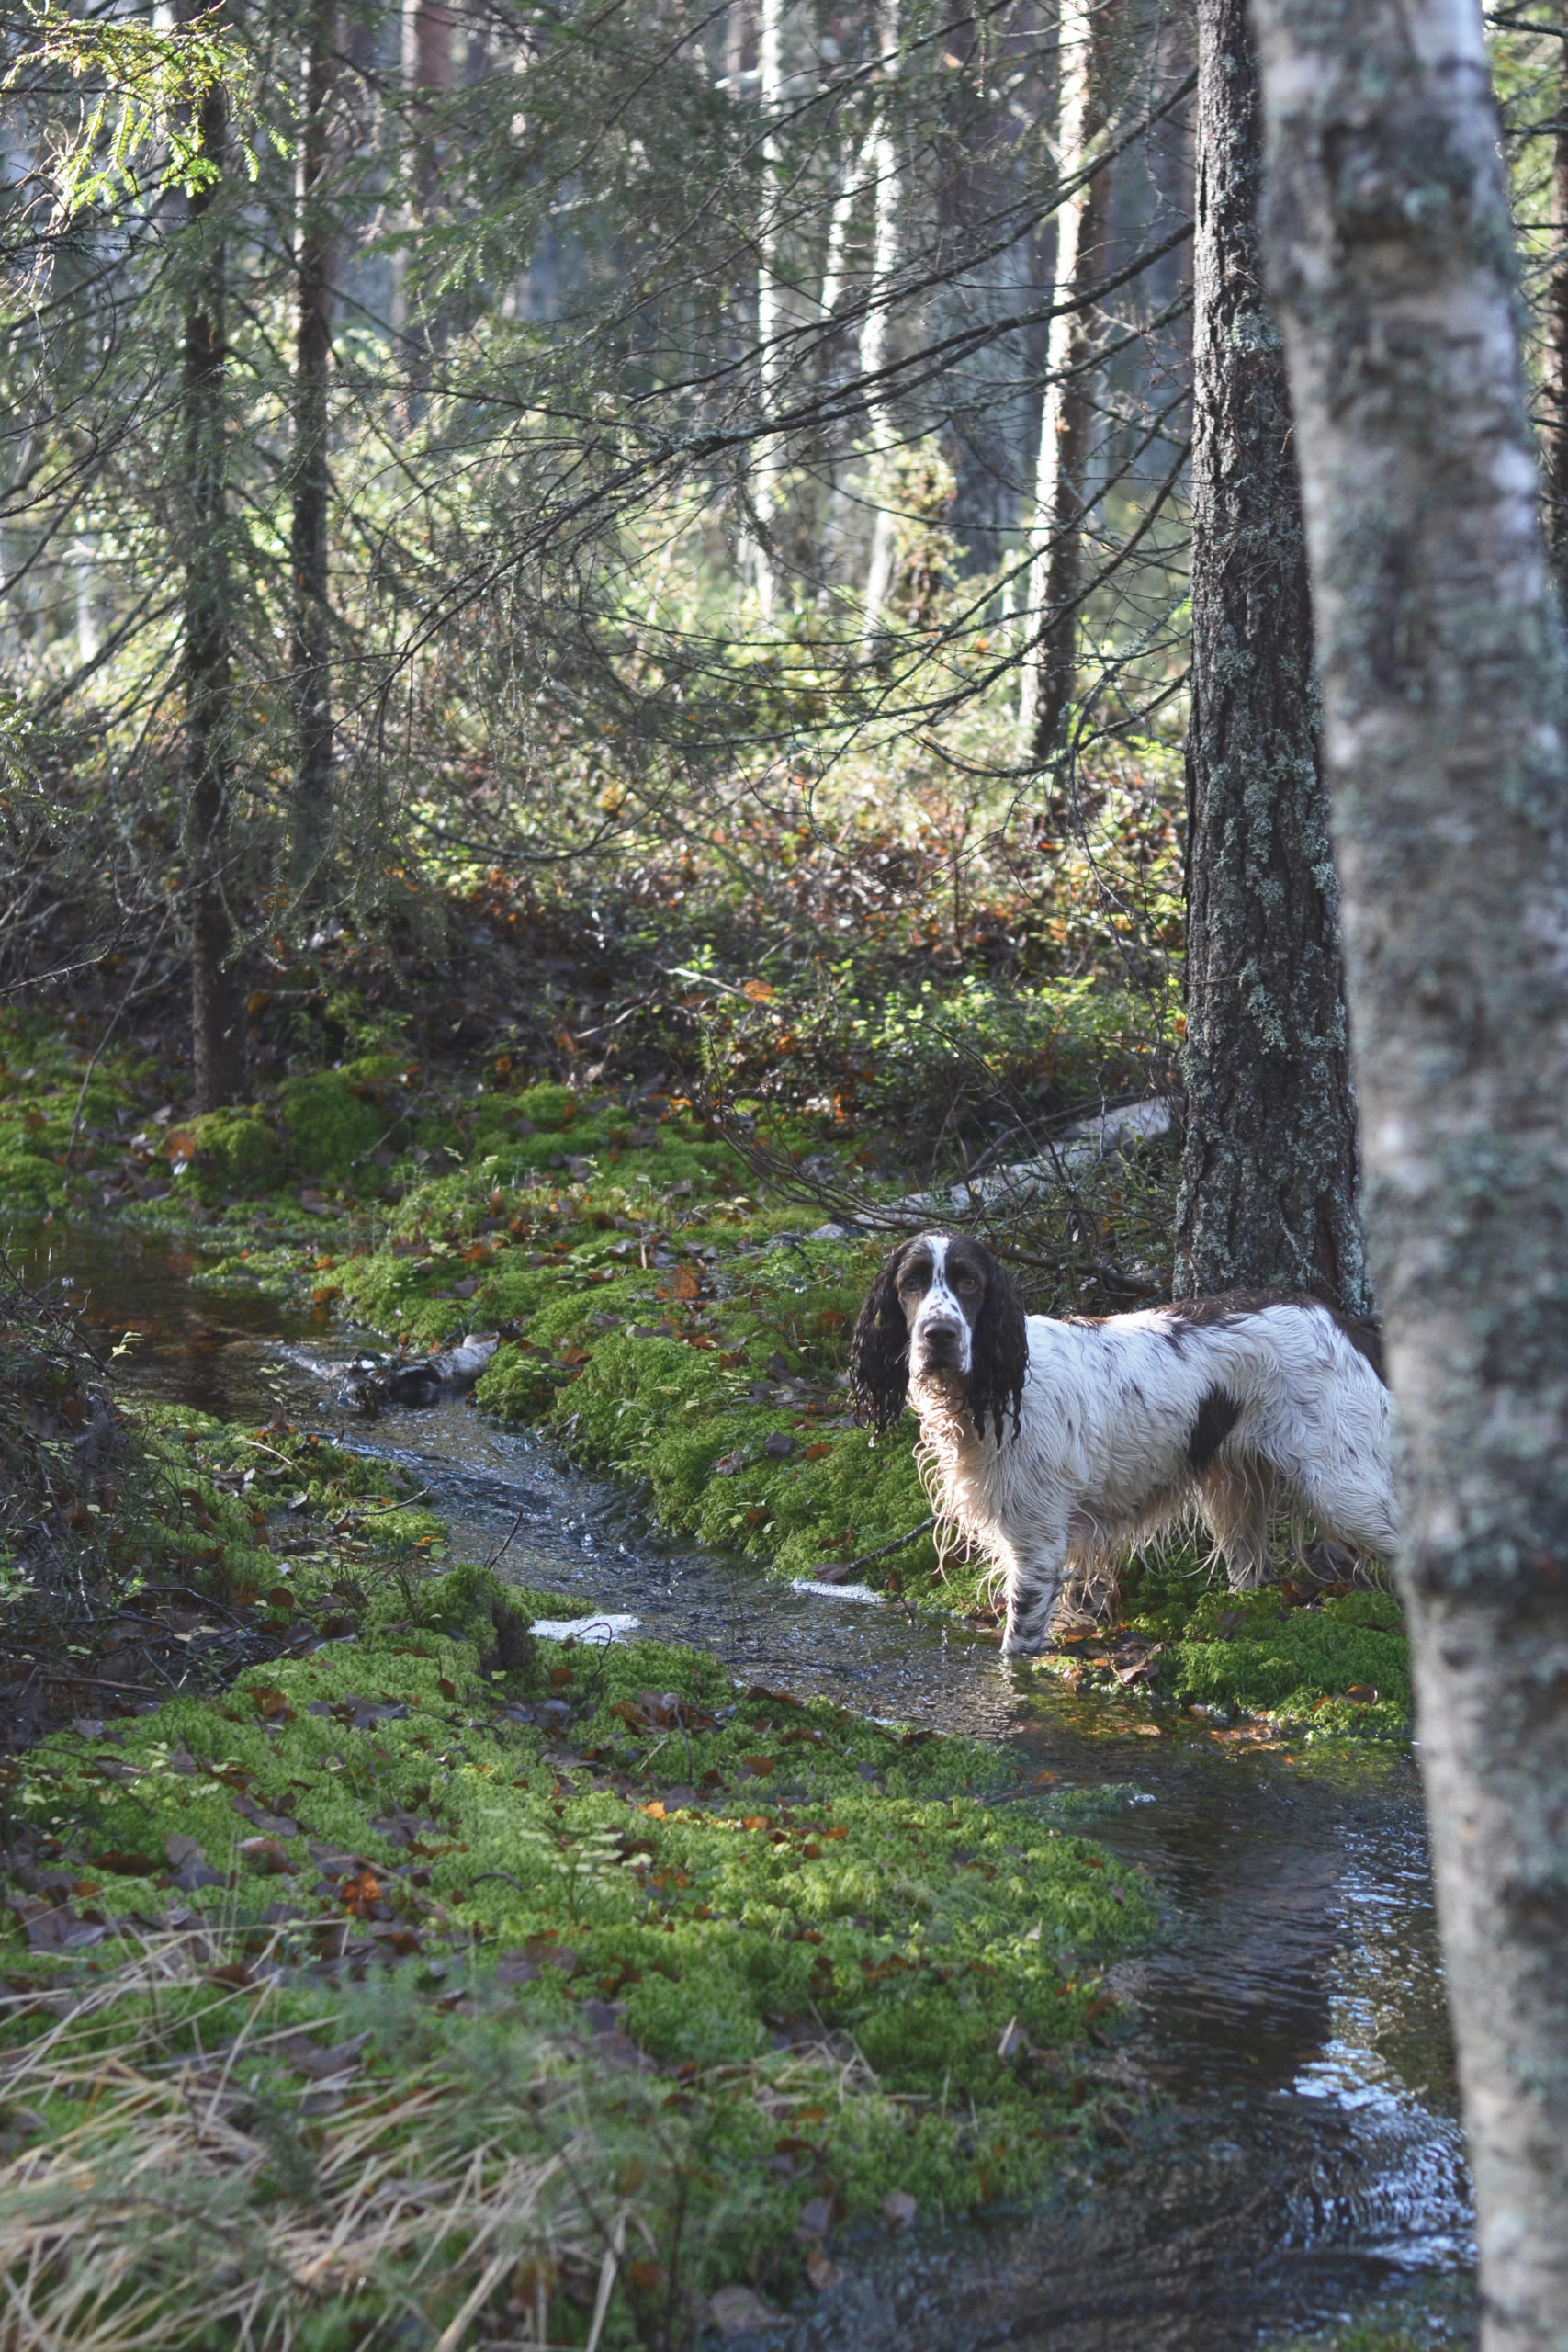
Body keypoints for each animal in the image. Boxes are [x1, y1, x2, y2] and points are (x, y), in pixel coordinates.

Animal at [851, 1232, 1401, 1656]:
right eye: (911, 1283)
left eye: (970, 1282)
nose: (939, 1335)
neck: (992, 1388)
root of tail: (1345, 1324)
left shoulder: (1038, 1546)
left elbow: (1017, 1648)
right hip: (1233, 1488)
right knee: (1249, 1568)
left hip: (1347, 1490)